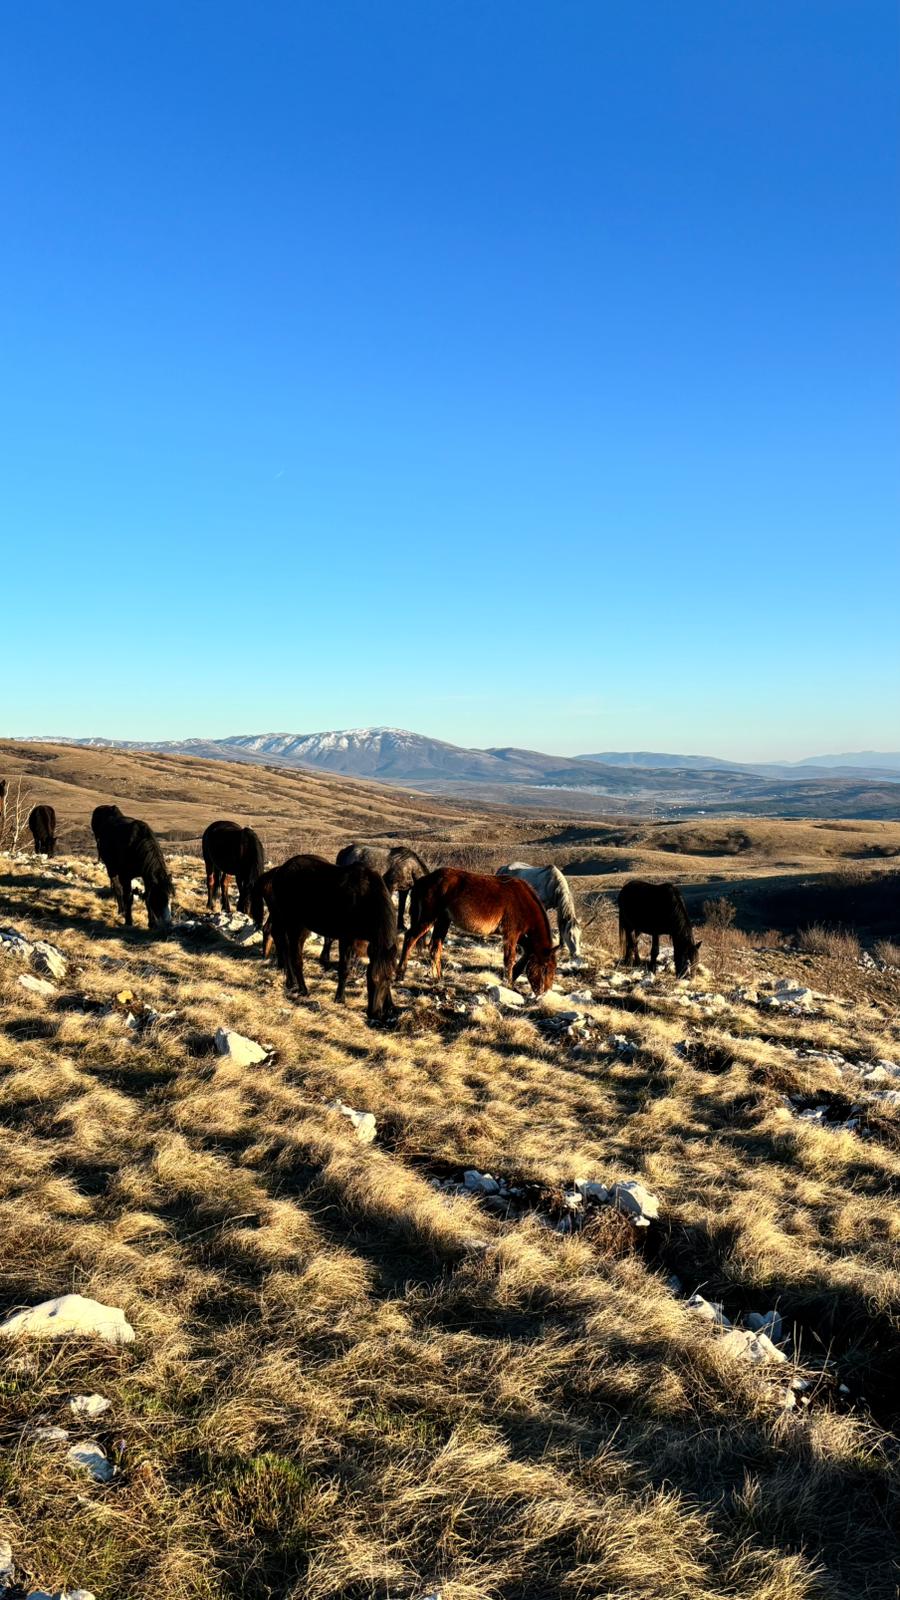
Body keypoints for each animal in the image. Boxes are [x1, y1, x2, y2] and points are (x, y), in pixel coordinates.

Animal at [252, 854, 397, 1019]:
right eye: (369, 978)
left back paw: (291, 982)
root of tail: (279, 872)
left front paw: (391, 1005)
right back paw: (302, 988)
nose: (375, 1013)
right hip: (291, 922)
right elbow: (344, 968)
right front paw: (340, 998)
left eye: (389, 979)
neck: (367, 900)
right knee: (292, 953)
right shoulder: (346, 938)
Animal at [398, 868, 558, 994]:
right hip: (429, 917)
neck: (523, 901)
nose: (543, 994)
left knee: (435, 947)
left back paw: (438, 978)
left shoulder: (521, 937)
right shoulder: (511, 934)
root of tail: (422, 880)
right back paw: (401, 973)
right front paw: (508, 984)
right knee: (410, 938)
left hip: (443, 920)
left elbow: (526, 954)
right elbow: (509, 958)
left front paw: (513, 980)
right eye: (545, 969)